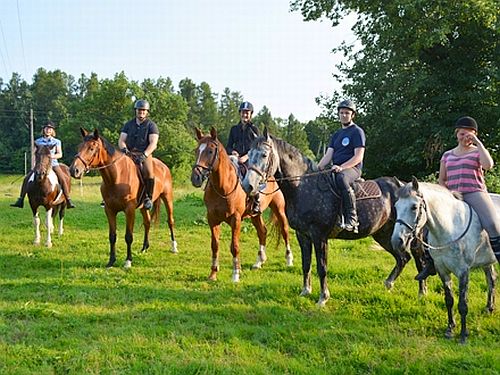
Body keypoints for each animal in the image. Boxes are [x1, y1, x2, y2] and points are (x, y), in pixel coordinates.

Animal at [70, 128, 178, 268]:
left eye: (91, 148)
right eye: (79, 147)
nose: (74, 170)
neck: (116, 177)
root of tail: (164, 166)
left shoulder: (129, 210)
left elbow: (128, 236)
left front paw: (128, 261)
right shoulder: (109, 210)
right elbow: (112, 236)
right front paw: (111, 261)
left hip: (167, 198)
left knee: (170, 221)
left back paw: (174, 247)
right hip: (143, 207)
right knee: (147, 222)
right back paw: (144, 248)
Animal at [190, 128, 292, 284]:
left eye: (210, 151)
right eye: (197, 150)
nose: (195, 178)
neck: (223, 186)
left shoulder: (236, 219)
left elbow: (235, 247)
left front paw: (236, 274)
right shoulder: (212, 219)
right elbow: (215, 245)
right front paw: (213, 273)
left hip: (279, 209)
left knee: (285, 231)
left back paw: (289, 260)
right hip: (255, 214)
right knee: (262, 231)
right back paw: (259, 261)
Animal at [242, 128, 426, 306]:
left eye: (264, 154)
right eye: (249, 154)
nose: (247, 185)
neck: (304, 187)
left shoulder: (319, 236)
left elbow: (322, 267)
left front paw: (323, 298)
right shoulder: (303, 235)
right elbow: (306, 264)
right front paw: (305, 291)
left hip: (409, 235)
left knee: (418, 259)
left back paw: (421, 292)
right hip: (385, 234)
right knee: (403, 258)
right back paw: (389, 283)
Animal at [390, 178, 496, 346]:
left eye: (414, 207)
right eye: (396, 207)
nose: (397, 241)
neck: (451, 227)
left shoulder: (463, 271)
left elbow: (463, 304)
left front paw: (463, 335)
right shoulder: (442, 269)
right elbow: (449, 300)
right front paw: (450, 329)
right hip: (486, 261)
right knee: (491, 279)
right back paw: (489, 308)